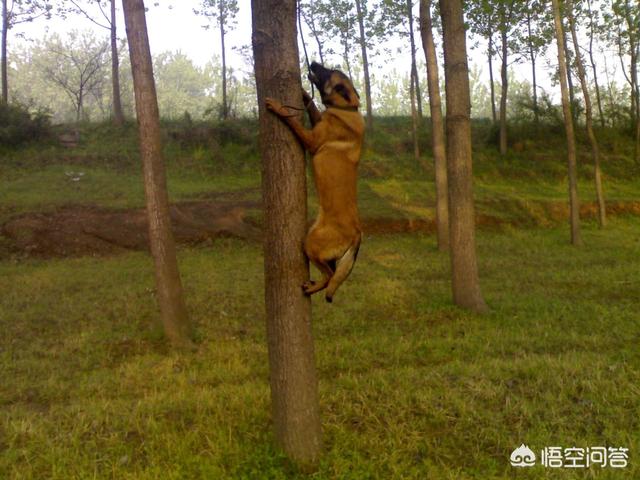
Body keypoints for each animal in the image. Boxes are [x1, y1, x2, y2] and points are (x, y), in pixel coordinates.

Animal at [264, 62, 364, 302]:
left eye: (328, 72)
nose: (313, 64)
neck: (347, 109)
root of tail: (358, 233)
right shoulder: (317, 121)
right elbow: (312, 107)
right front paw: (303, 93)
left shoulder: (311, 140)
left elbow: (291, 120)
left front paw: (279, 107)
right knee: (332, 272)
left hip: (311, 244)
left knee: (330, 276)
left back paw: (311, 288)